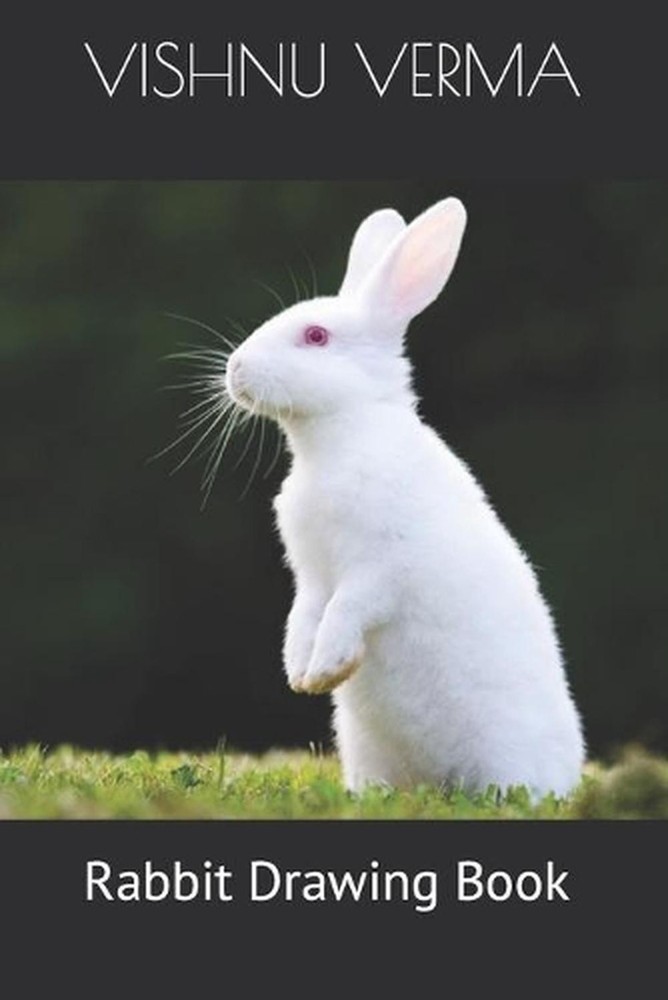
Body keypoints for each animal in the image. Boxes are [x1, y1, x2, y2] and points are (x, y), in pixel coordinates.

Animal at [224, 197, 585, 799]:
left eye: (316, 336)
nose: (234, 369)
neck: (338, 441)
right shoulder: (311, 576)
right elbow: (304, 615)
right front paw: (300, 673)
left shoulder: (381, 569)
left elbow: (346, 608)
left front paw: (326, 668)